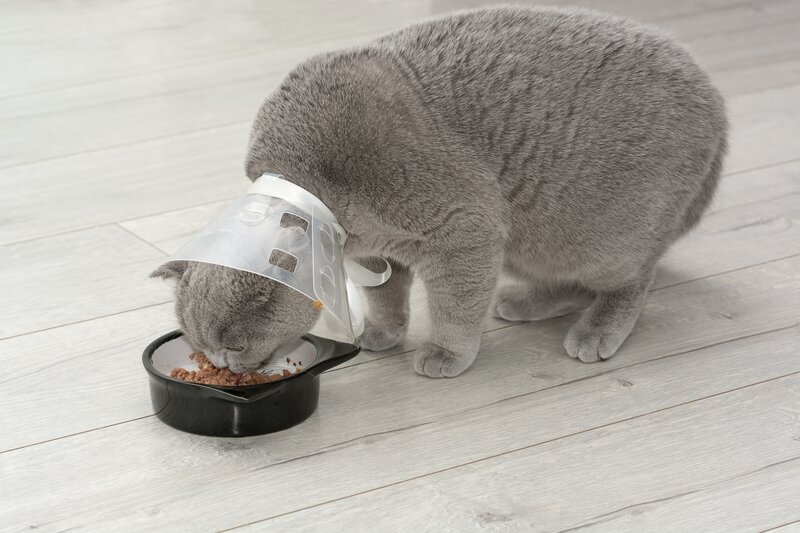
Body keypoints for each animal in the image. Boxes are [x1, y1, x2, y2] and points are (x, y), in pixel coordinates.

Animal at [150, 6, 724, 376]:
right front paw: (381, 335)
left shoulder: (464, 225)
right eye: (202, 347)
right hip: (532, 243)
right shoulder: (377, 251)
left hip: (591, 235)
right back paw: (526, 303)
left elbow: (456, 302)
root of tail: (718, 106)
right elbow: (385, 297)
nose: (222, 366)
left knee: (634, 277)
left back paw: (596, 332)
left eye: (234, 344)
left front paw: (447, 354)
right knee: (570, 280)